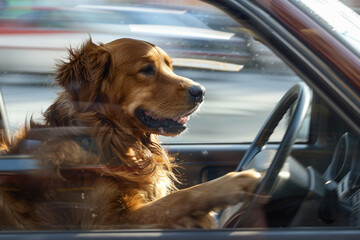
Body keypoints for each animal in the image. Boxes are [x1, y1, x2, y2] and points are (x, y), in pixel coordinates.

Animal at [0, 38, 260, 230]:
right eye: (146, 69)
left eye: (170, 66)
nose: (201, 91)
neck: (102, 139)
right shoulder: (108, 222)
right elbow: (180, 197)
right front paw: (235, 182)